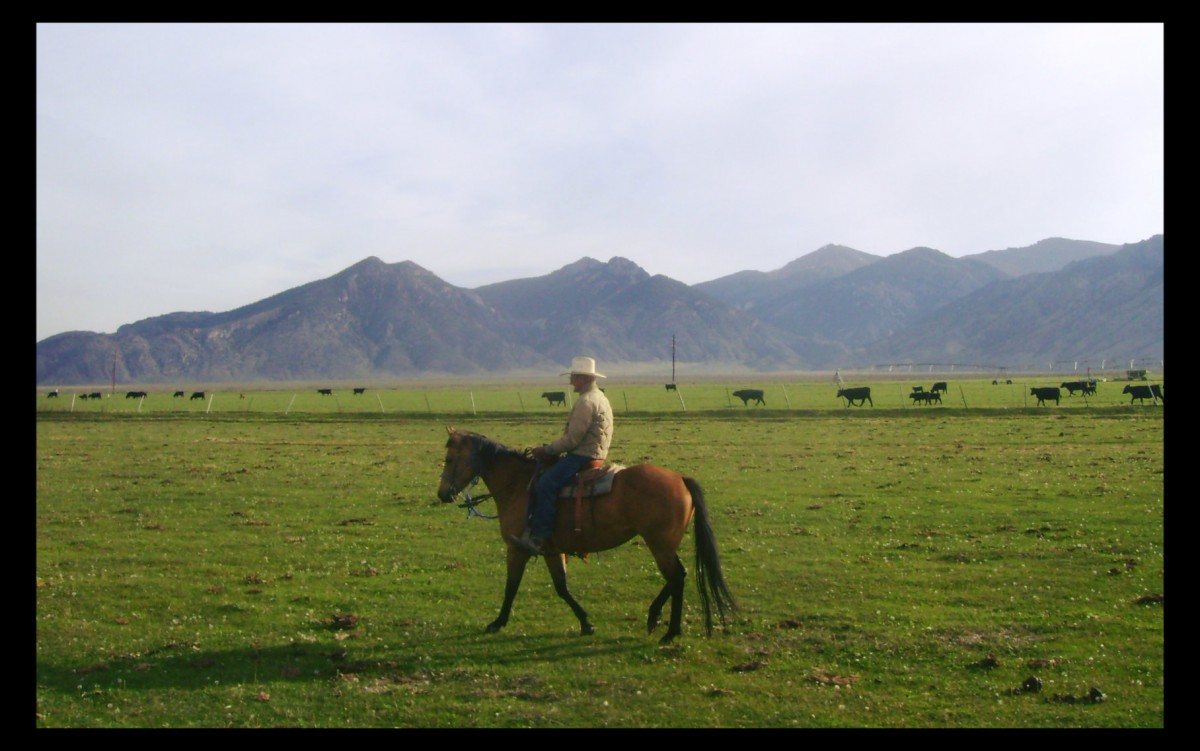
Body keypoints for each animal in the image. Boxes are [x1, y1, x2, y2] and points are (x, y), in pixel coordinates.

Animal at [436, 424, 734, 638]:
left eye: (449, 458)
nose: (442, 494)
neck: (519, 485)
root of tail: (680, 479)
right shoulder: (551, 550)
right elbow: (561, 587)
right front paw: (586, 623)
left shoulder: (517, 548)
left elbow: (511, 585)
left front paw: (497, 622)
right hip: (663, 545)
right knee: (676, 578)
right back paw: (654, 617)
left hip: (659, 545)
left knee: (677, 578)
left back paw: (670, 631)